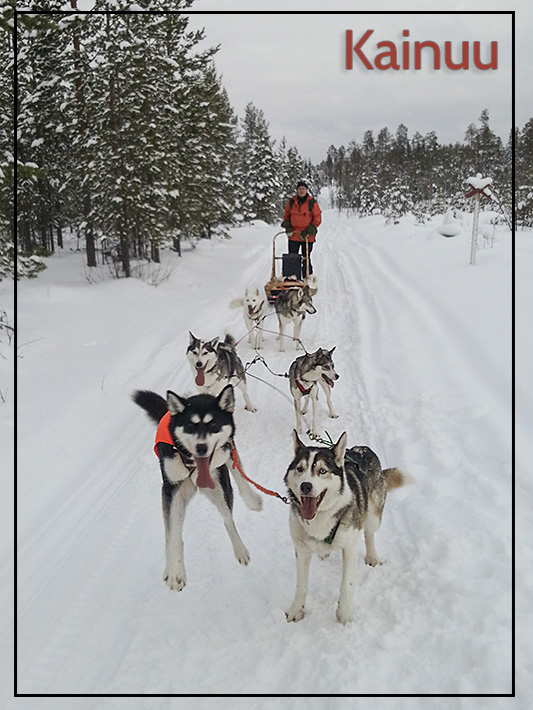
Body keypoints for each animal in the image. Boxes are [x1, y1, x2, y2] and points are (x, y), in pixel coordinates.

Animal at [133, 386, 262, 592]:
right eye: (190, 426)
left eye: (214, 424)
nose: (202, 448)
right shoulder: (169, 490)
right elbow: (171, 534)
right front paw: (174, 572)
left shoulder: (224, 459)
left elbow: (238, 477)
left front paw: (252, 501)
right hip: (181, 496)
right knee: (177, 532)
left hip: (220, 480)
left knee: (229, 512)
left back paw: (240, 544)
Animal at [282, 432, 412, 624]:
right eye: (300, 469)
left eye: (322, 471)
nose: (305, 486)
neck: (320, 518)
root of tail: (362, 449)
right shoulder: (301, 549)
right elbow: (301, 585)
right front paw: (296, 610)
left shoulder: (350, 546)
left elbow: (347, 584)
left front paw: (344, 614)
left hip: (373, 517)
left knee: (369, 534)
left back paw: (372, 556)